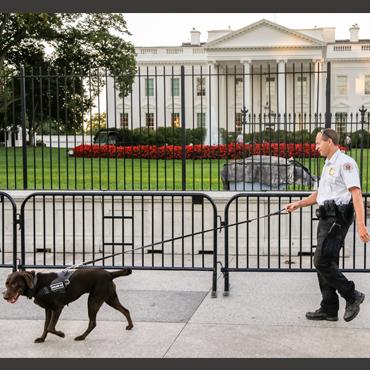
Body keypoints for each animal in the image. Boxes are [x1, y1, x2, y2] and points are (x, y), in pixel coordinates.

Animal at [2, 268, 133, 342]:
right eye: (7, 283)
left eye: (14, 284)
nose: (5, 297)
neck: (37, 284)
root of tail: (109, 274)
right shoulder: (48, 310)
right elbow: (46, 326)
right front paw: (42, 339)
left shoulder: (57, 308)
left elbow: (50, 327)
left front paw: (61, 334)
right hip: (110, 298)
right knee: (126, 310)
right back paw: (130, 326)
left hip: (94, 301)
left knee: (93, 323)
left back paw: (81, 337)